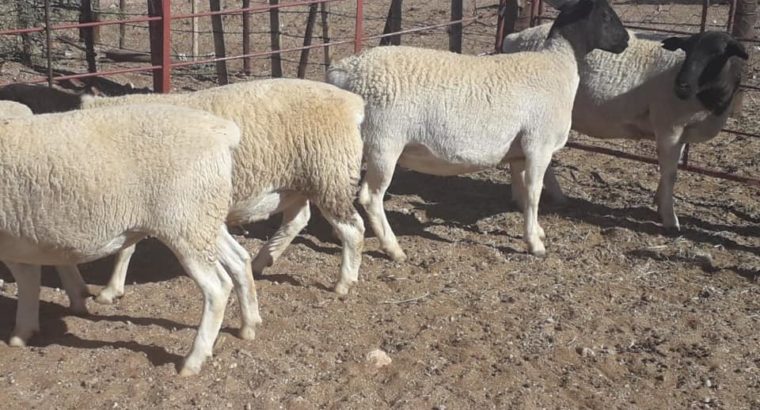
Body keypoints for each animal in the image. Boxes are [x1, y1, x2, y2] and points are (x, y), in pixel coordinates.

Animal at [0, 103, 260, 376]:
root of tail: (221, 131)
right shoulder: (22, 240)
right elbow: (29, 281)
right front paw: (24, 332)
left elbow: (28, 281)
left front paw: (20, 333)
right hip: (204, 218)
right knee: (239, 259)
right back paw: (249, 325)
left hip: (185, 221)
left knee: (217, 287)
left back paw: (193, 360)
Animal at [1, 79, 367, 298]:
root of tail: (352, 102)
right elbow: (127, 246)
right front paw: (113, 287)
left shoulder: (139, 198)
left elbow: (126, 247)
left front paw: (110, 289)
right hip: (296, 182)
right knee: (298, 218)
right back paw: (262, 261)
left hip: (330, 174)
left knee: (353, 229)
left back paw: (343, 282)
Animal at [326, 0, 629, 259]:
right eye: (605, 15)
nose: (626, 40)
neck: (560, 64)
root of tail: (345, 69)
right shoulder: (539, 143)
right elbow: (534, 193)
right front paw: (535, 244)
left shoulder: (520, 151)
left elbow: (522, 192)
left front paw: (536, 231)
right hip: (384, 143)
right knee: (371, 197)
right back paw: (393, 249)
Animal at [502, 24, 748, 230]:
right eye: (687, 50)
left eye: (718, 54)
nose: (681, 85)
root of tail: (515, 37)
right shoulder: (669, 127)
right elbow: (670, 174)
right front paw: (670, 219)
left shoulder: (681, 133)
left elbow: (672, 168)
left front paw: (659, 201)